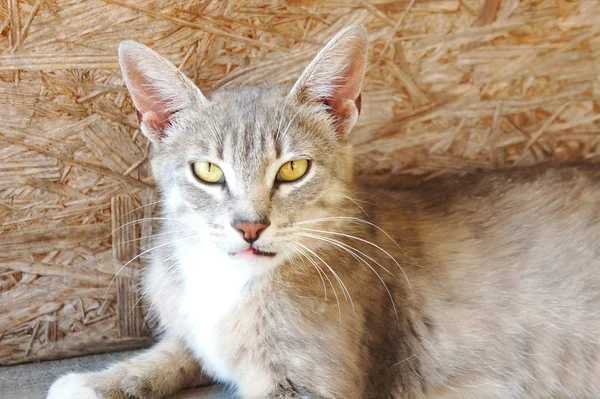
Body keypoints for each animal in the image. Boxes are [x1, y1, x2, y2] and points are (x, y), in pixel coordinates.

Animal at [48, 25, 600, 399]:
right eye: (207, 170)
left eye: (293, 169)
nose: (250, 226)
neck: (232, 281)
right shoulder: (196, 328)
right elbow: (178, 348)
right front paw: (105, 379)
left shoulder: (311, 383)